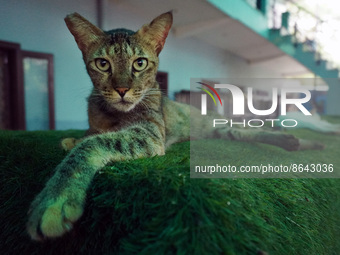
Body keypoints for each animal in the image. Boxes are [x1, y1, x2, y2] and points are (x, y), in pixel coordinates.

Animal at [25, 10, 322, 241]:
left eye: (140, 63)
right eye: (102, 63)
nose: (122, 89)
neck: (113, 115)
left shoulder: (150, 134)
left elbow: (91, 145)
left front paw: (55, 198)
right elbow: (90, 135)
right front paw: (73, 139)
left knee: (257, 129)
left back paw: (299, 139)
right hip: (225, 131)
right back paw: (294, 141)